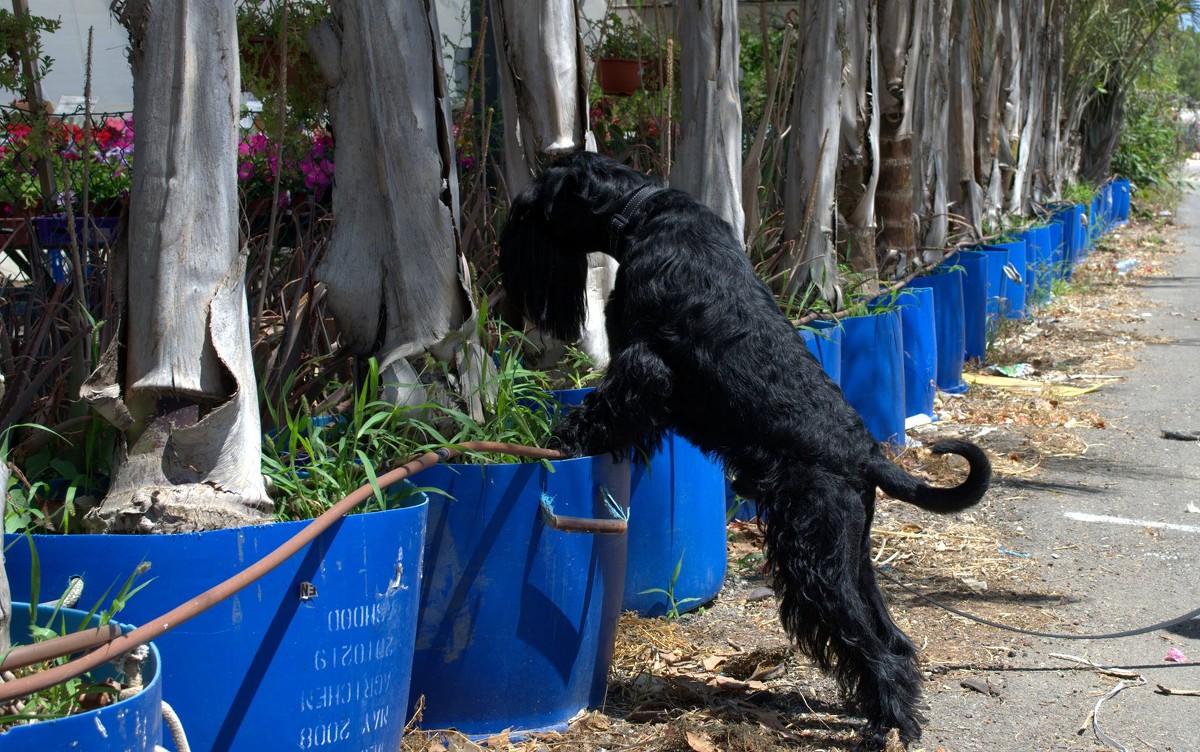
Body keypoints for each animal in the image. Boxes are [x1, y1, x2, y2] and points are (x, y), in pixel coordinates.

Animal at [499, 151, 993, 748]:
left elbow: (603, 410)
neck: (640, 212)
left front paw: (557, 442)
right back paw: (888, 710)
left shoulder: (643, 366)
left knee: (870, 642)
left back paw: (887, 724)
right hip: (850, 554)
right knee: (891, 634)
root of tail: (867, 454)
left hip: (814, 557)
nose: (512, 221)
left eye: (539, 203)